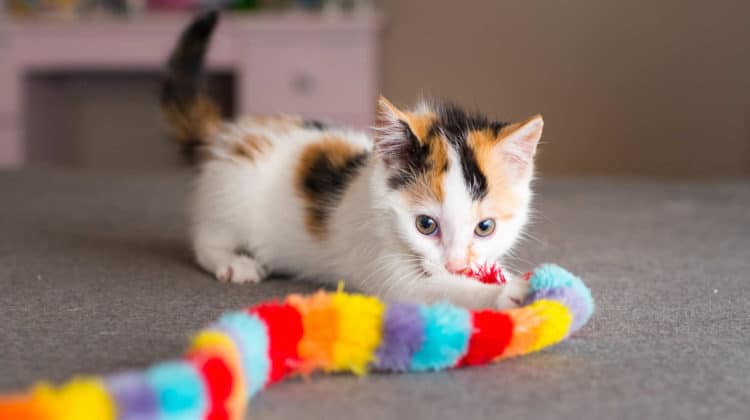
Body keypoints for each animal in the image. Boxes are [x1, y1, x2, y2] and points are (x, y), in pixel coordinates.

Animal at [162, 11, 544, 310]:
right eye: (425, 225)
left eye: (485, 227)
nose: (456, 265)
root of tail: (228, 132)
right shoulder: (384, 268)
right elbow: (433, 288)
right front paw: (507, 292)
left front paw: (508, 278)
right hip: (230, 197)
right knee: (207, 239)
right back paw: (233, 262)